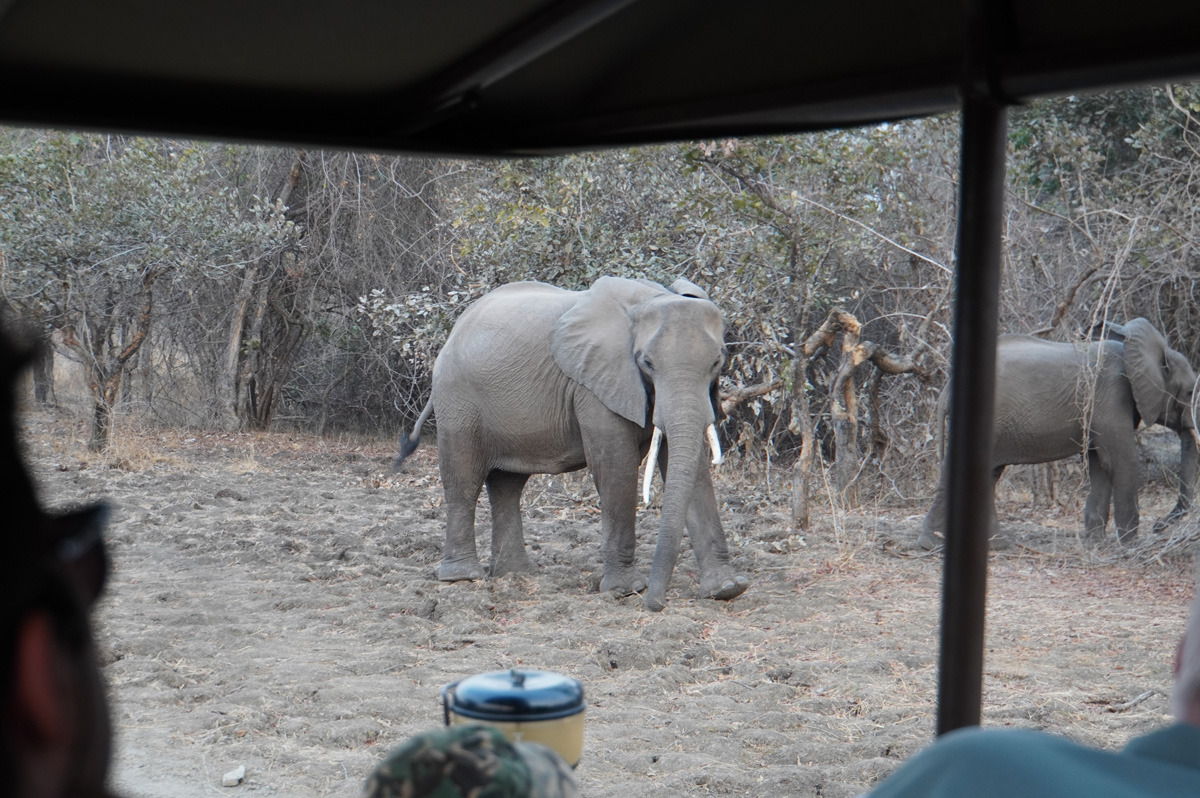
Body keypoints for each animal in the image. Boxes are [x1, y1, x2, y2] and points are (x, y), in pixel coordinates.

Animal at [394, 276, 749, 611]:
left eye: (717, 362)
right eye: (646, 363)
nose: (657, 604)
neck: (650, 298)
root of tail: (453, 332)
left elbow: (694, 470)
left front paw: (727, 590)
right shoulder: (594, 384)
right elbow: (615, 466)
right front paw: (626, 591)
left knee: (507, 485)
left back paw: (516, 574)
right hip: (458, 400)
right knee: (464, 480)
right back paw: (463, 578)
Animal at [920, 317, 1199, 549]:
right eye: (1188, 393)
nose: (1158, 527)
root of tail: (947, 388)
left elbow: (1100, 464)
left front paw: (1095, 545)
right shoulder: (1111, 397)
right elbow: (1121, 461)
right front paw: (1131, 547)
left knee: (989, 474)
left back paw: (995, 545)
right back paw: (932, 545)